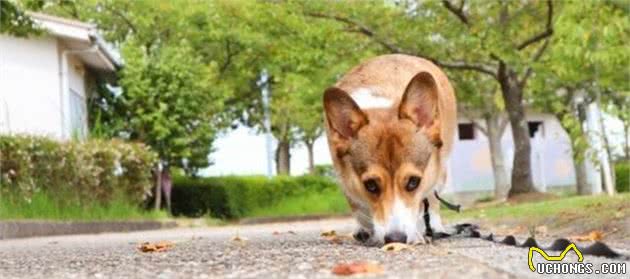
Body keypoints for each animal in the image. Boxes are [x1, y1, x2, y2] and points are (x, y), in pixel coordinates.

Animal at [326, 54, 454, 245]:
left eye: (413, 182)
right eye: (370, 185)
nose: (396, 239)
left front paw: (417, 233)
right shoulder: (344, 177)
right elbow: (359, 209)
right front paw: (367, 229)